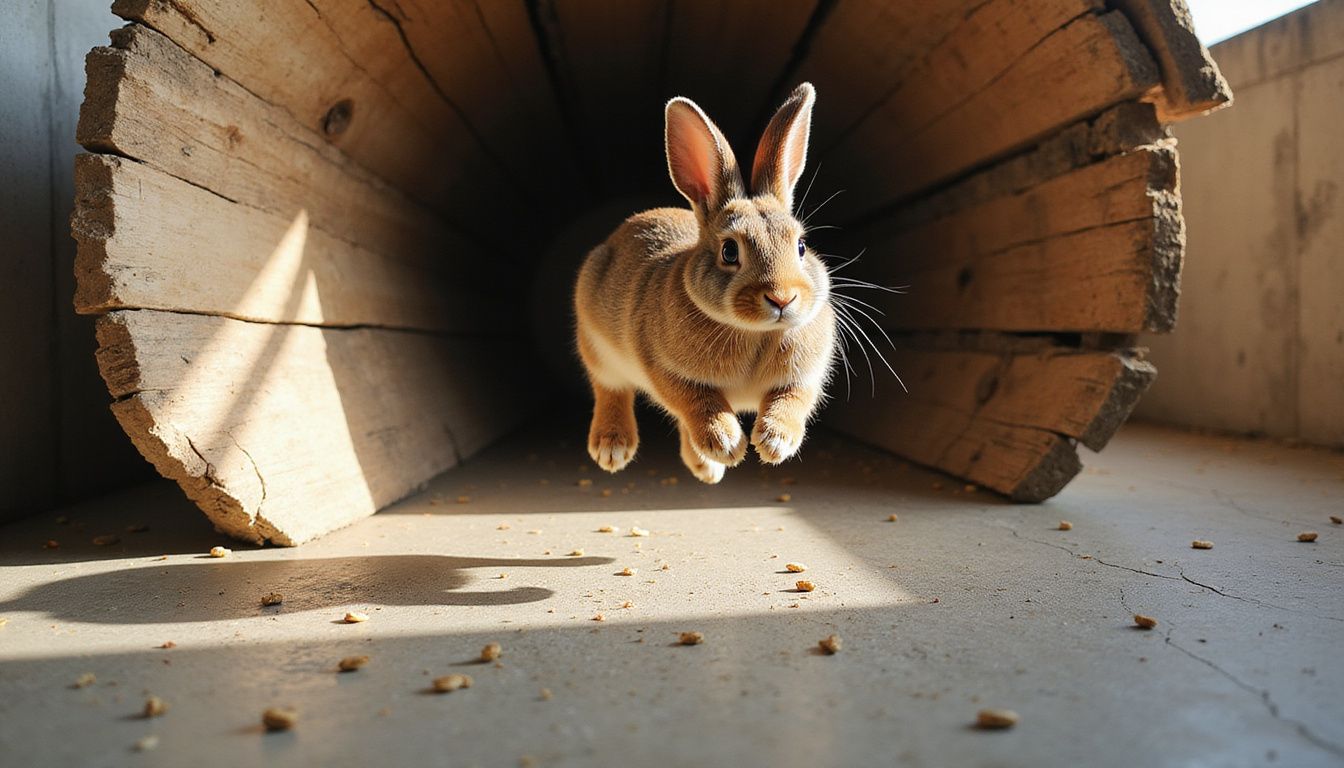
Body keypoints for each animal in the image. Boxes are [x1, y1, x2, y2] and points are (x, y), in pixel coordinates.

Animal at [574, 82, 836, 484]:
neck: (754, 332)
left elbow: (792, 399)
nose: (782, 298)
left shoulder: (806, 375)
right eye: (729, 251)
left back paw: (706, 468)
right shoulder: (665, 369)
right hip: (596, 341)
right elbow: (697, 403)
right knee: (610, 387)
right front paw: (727, 444)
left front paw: (774, 443)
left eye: (801, 246)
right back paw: (614, 448)